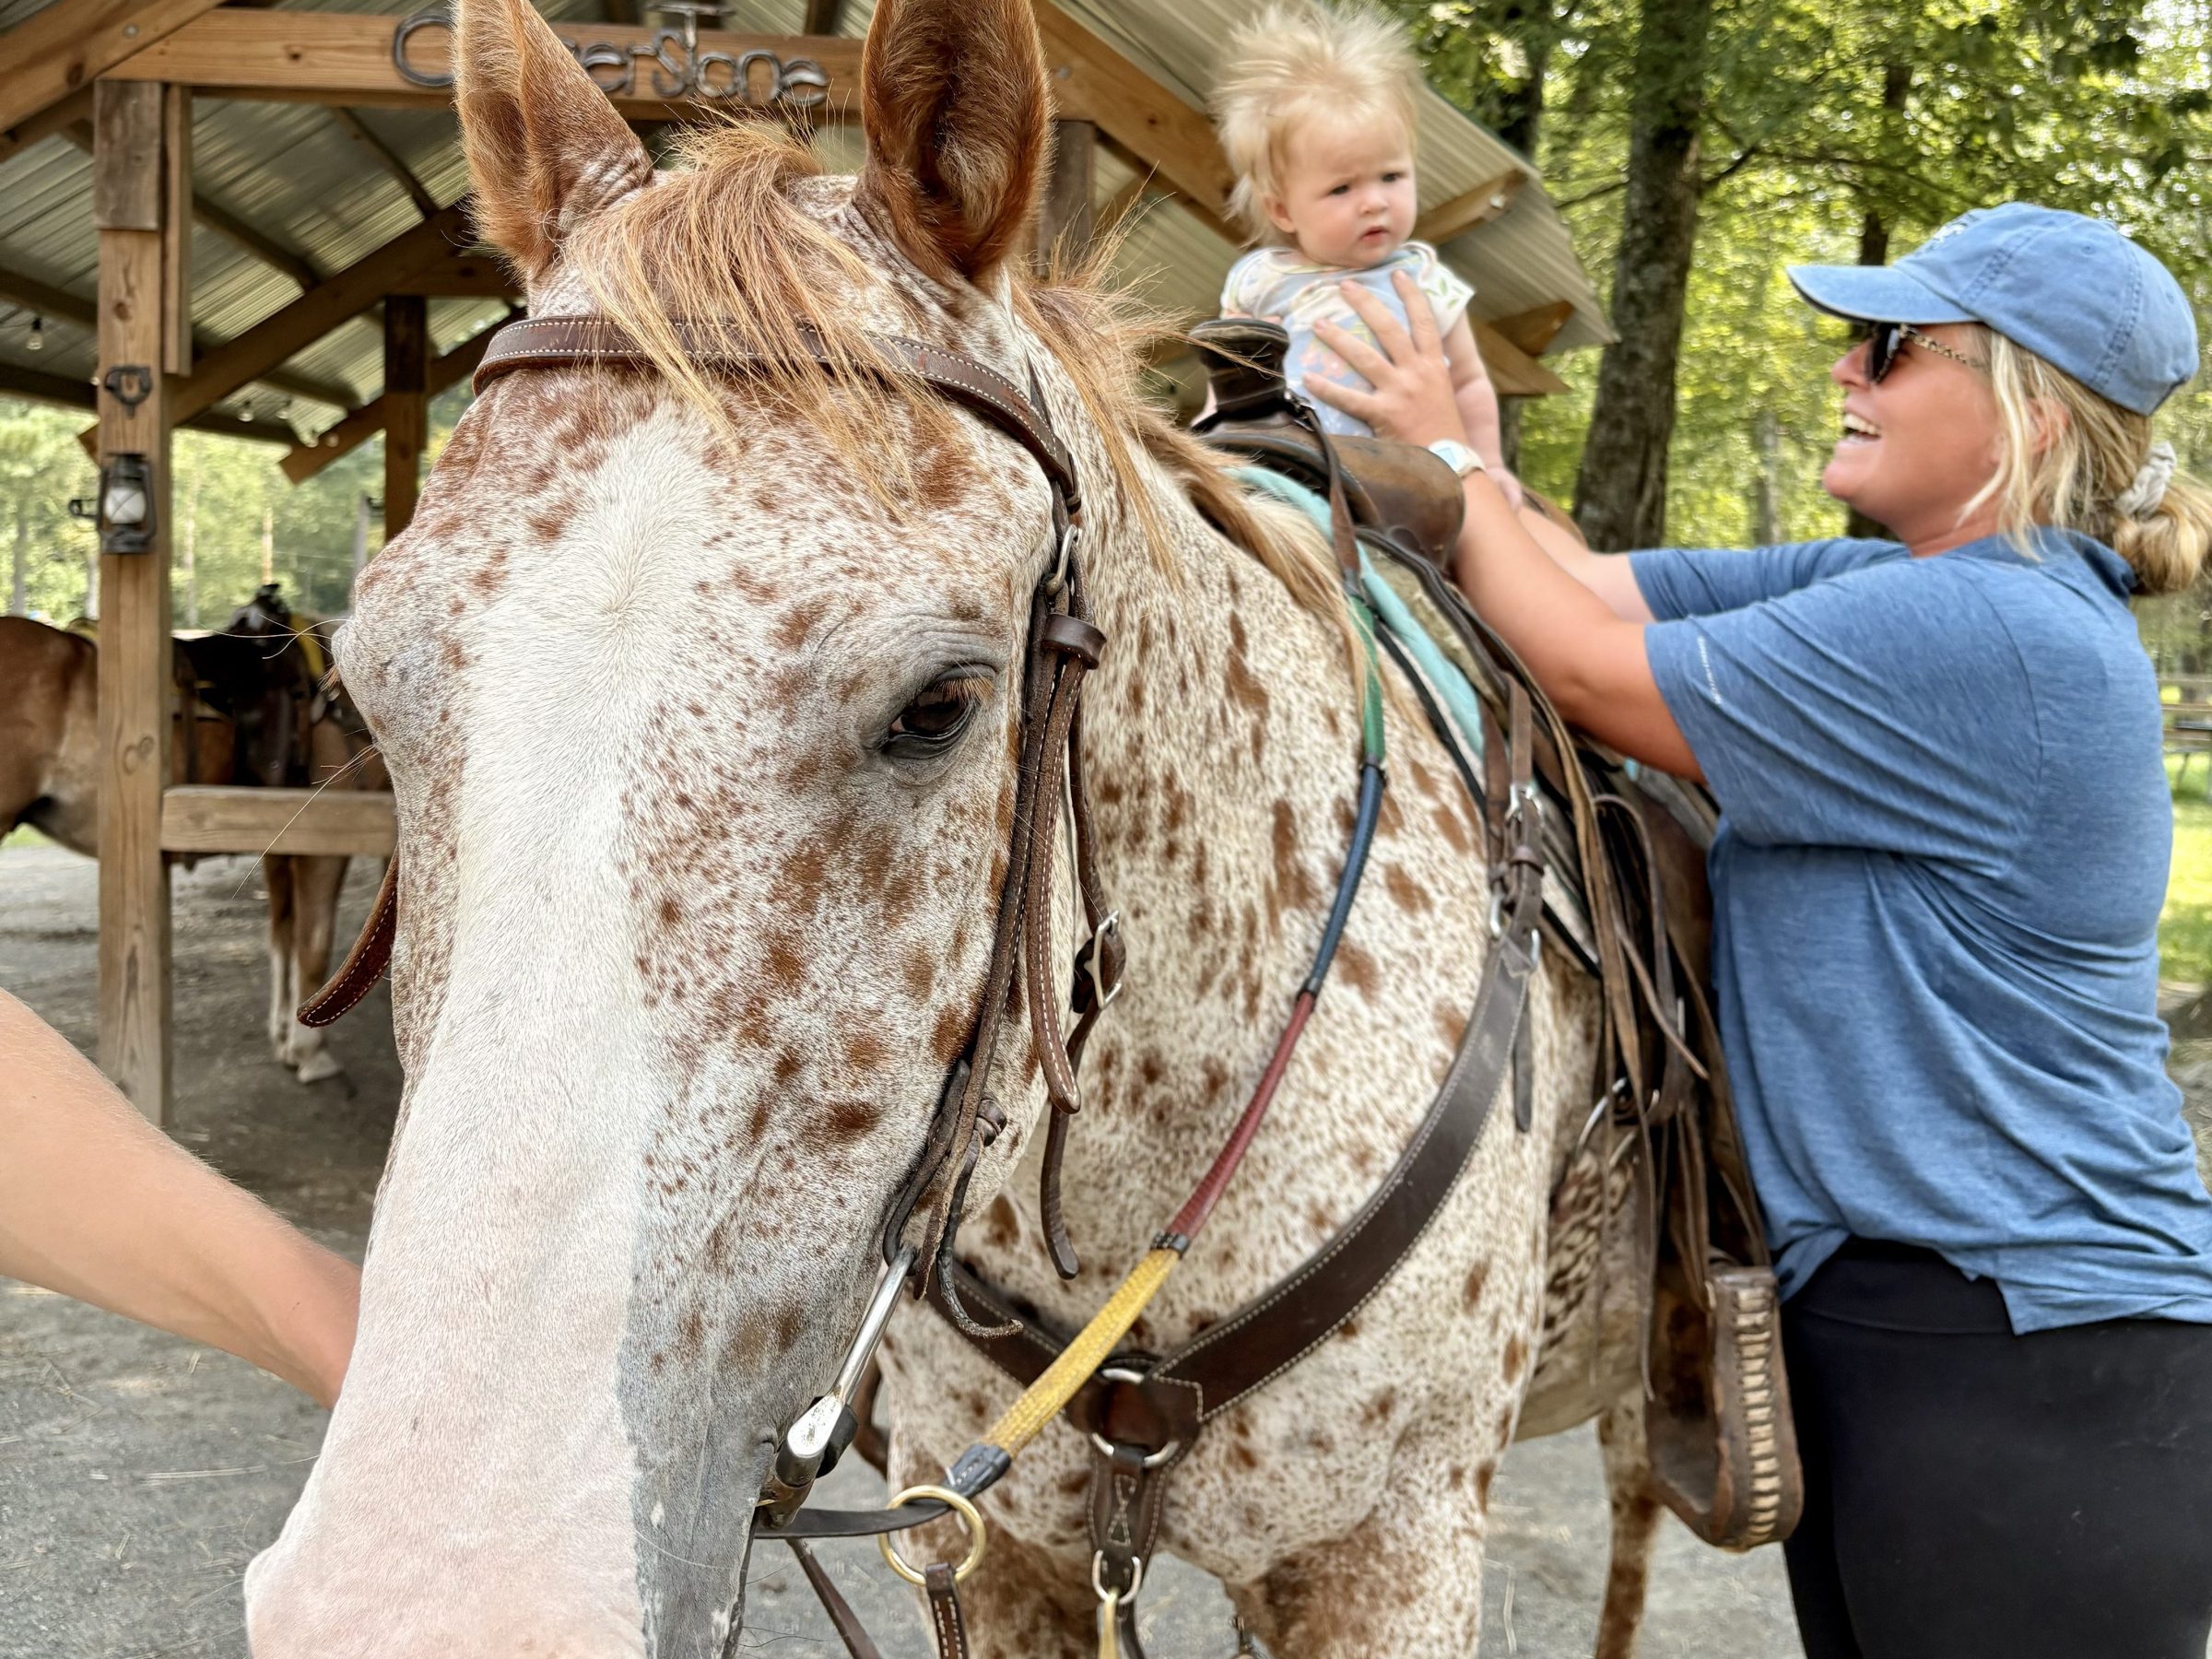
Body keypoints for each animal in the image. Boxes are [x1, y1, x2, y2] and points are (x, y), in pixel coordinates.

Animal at [0, 606, 385, 1085]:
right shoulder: (322, 848)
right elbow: (313, 945)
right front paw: (310, 1053)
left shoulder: (280, 849)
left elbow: (283, 937)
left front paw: (283, 1034)